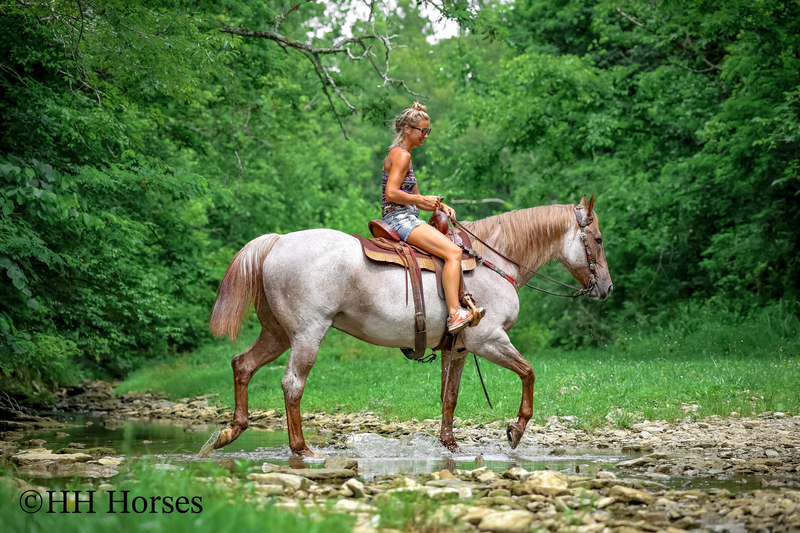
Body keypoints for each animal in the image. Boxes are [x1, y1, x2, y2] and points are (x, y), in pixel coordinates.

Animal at [202, 195, 612, 457]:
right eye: (597, 239)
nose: (607, 288)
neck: (492, 261)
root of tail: (276, 242)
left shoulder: (458, 350)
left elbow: (450, 397)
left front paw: (450, 445)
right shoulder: (489, 340)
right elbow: (528, 373)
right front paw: (515, 430)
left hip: (276, 333)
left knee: (243, 365)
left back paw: (228, 433)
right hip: (306, 334)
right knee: (292, 384)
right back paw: (301, 448)